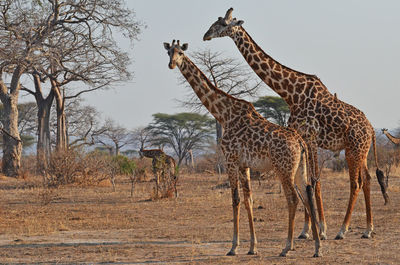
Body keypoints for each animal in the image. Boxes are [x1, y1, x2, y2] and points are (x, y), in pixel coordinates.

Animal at [162, 39, 322, 256]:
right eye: (168, 52)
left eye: (180, 52)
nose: (171, 64)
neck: (223, 114)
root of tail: (300, 142)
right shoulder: (244, 164)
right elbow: (249, 200)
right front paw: (253, 247)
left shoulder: (230, 160)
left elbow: (235, 199)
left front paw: (233, 247)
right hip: (299, 168)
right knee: (307, 196)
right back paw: (317, 247)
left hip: (283, 168)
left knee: (293, 199)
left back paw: (286, 247)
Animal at [203, 7, 388, 239]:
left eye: (222, 24)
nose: (206, 35)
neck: (290, 93)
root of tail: (371, 129)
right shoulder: (302, 138)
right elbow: (307, 182)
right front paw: (306, 231)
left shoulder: (311, 137)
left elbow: (314, 181)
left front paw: (321, 229)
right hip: (358, 150)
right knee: (368, 179)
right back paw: (368, 229)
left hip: (354, 149)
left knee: (356, 183)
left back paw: (342, 230)